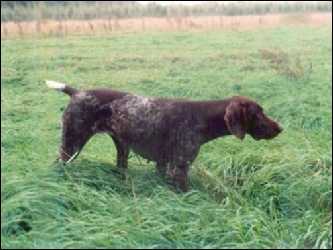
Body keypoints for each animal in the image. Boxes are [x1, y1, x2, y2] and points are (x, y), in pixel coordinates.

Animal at [45, 80, 282, 191]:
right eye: (258, 113)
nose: (280, 128)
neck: (202, 117)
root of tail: (77, 93)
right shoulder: (179, 168)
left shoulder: (163, 166)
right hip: (72, 144)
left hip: (121, 148)